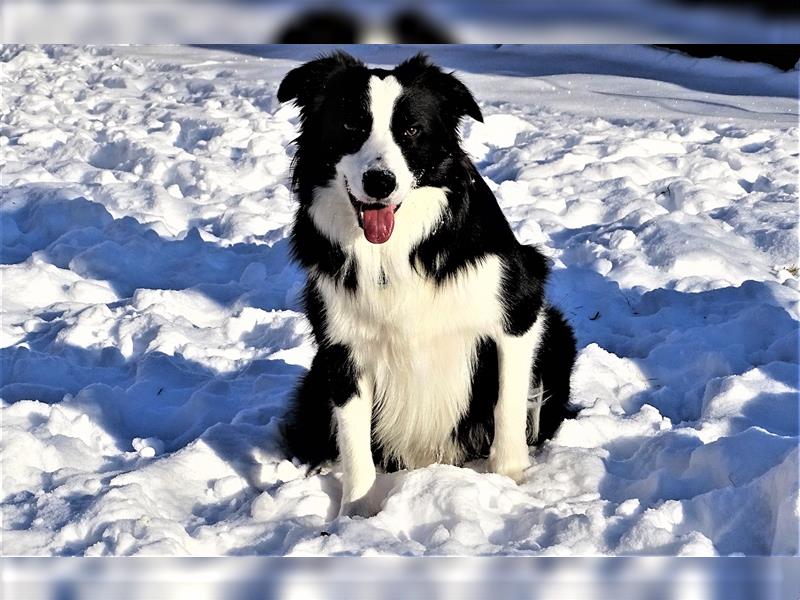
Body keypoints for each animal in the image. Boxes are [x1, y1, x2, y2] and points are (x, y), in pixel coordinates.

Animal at [276, 51, 576, 516]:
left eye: (412, 130)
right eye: (351, 125)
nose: (380, 182)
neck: (395, 251)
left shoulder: (517, 312)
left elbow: (508, 407)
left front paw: (508, 481)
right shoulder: (342, 346)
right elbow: (354, 442)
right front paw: (355, 515)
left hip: (558, 334)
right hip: (316, 377)